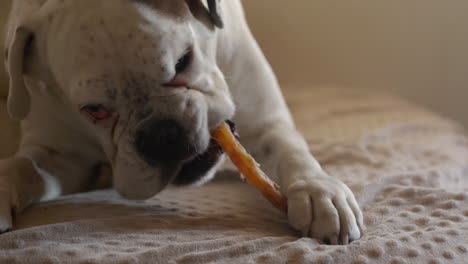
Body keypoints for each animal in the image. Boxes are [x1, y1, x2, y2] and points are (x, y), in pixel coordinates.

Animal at [0, 0, 364, 244]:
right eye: (95, 110)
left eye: (183, 61)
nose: (162, 134)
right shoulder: (57, 158)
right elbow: (19, 167)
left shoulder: (267, 124)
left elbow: (293, 153)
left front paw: (319, 192)